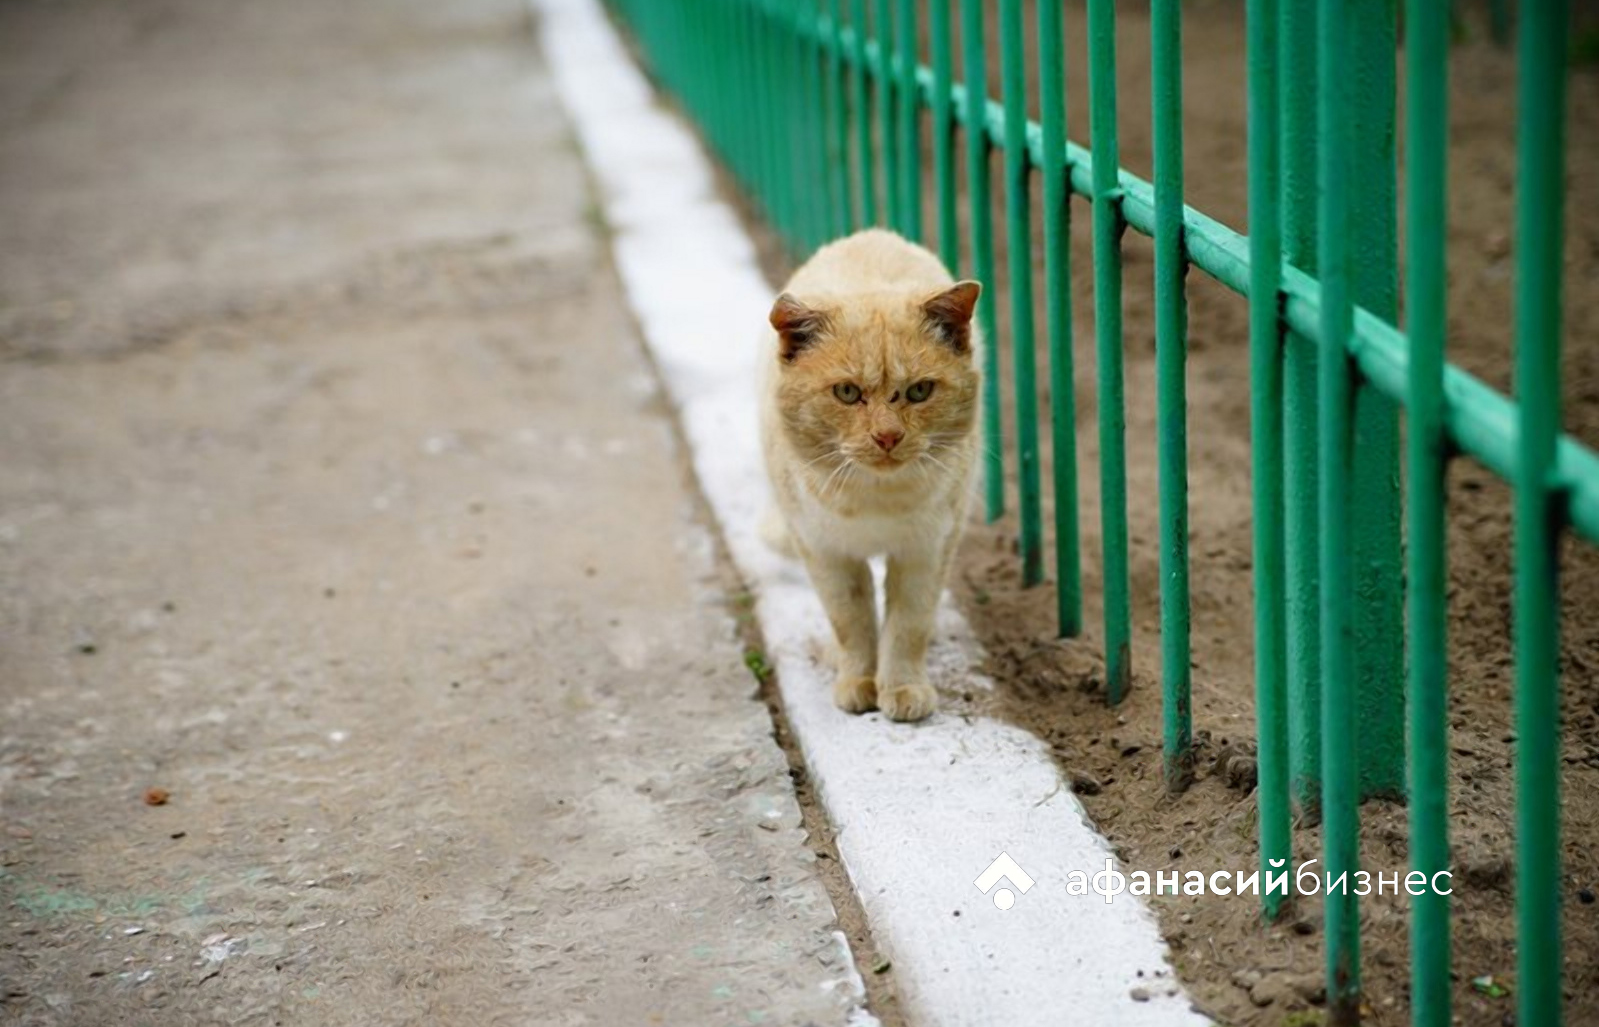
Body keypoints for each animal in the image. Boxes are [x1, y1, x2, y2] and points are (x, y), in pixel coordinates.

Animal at [757, 228, 978, 719]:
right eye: (846, 392)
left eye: (919, 391)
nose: (887, 436)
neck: (877, 497)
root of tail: (873, 234)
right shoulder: (825, 552)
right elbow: (852, 621)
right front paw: (858, 682)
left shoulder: (928, 550)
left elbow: (909, 624)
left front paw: (902, 688)